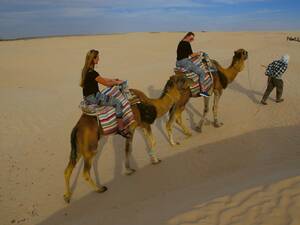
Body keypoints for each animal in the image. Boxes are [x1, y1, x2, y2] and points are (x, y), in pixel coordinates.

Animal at [62, 74, 192, 203]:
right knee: (85, 172)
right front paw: (153, 161)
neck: (152, 104)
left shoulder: (136, 127)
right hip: (90, 147)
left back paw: (67, 196)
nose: (191, 79)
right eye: (182, 79)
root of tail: (76, 128)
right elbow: (149, 143)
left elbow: (132, 148)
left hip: (79, 147)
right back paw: (100, 189)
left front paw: (132, 168)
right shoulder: (140, 125)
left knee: (68, 169)